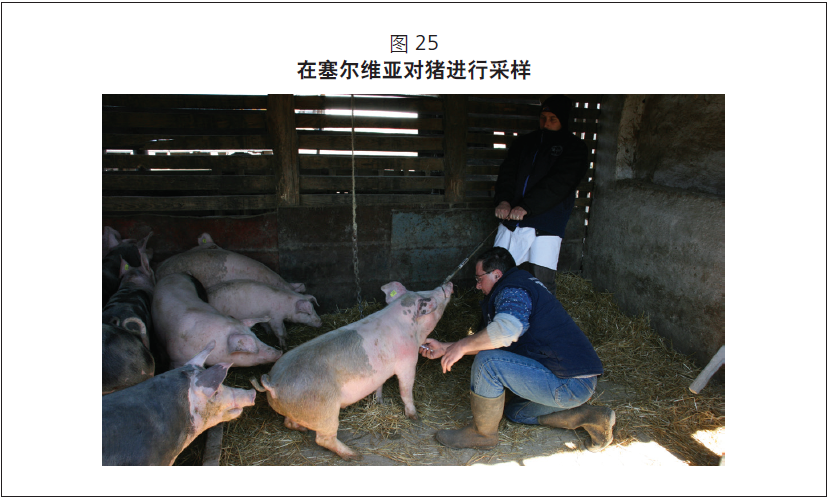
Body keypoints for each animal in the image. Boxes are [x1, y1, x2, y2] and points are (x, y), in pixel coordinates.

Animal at [251, 281, 453, 460]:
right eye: (434, 295)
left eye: (425, 290)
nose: (448, 284)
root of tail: (273, 383)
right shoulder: (407, 362)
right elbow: (406, 390)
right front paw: (415, 417)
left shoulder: (380, 370)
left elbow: (379, 385)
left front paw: (380, 402)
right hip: (325, 411)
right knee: (323, 439)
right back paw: (354, 455)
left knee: (289, 422)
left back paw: (303, 429)